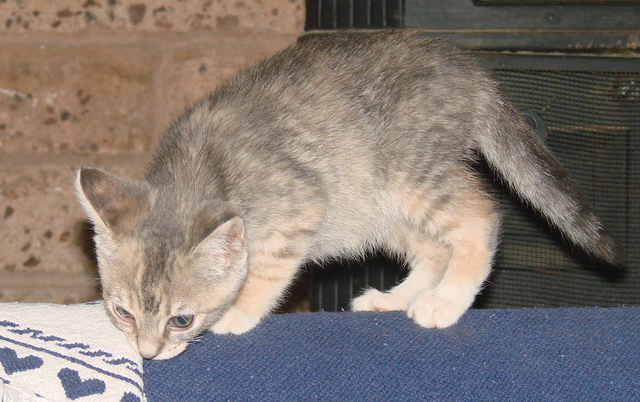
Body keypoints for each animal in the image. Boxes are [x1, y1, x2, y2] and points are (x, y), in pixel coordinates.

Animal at [74, 29, 616, 360]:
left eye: (182, 320)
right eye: (123, 312)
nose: (147, 352)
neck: (200, 172)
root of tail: (472, 72)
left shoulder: (300, 205)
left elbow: (266, 273)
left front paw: (238, 313)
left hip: (412, 174)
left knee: (480, 218)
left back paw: (445, 303)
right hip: (379, 208)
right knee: (434, 249)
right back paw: (395, 300)